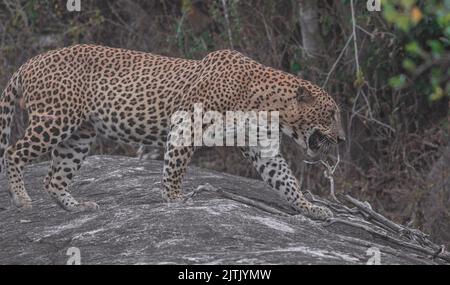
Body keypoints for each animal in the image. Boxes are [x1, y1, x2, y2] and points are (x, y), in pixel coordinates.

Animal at [0, 44, 344, 220]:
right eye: (331, 113)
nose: (341, 138)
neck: (264, 101)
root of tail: (29, 61)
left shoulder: (260, 146)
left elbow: (285, 179)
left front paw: (310, 208)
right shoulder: (186, 124)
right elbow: (175, 166)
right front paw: (175, 198)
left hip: (79, 135)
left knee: (53, 178)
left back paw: (76, 207)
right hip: (55, 120)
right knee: (13, 152)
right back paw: (21, 198)